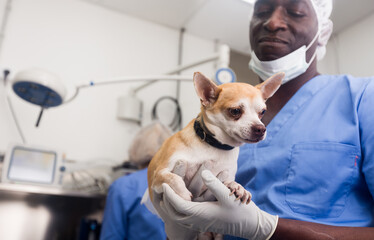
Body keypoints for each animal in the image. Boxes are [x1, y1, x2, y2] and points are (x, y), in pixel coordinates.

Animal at [146, 71, 284, 240]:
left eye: (262, 112)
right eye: (235, 111)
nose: (260, 128)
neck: (215, 146)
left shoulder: (222, 179)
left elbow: (228, 182)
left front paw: (238, 187)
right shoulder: (159, 174)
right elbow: (173, 178)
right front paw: (183, 194)